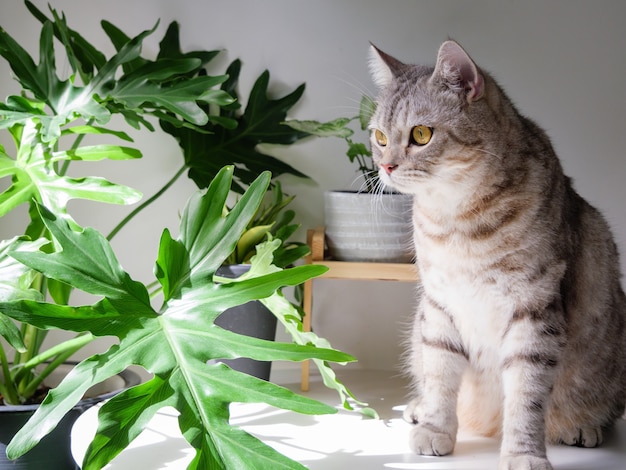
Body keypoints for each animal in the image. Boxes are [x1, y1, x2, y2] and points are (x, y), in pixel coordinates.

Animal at [366, 41, 624, 470]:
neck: (458, 222)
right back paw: (419, 407)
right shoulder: (440, 305)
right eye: (380, 136)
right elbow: (440, 374)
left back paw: (582, 427)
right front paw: (435, 427)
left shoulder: (533, 309)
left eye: (421, 134)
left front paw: (524, 454)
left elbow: (526, 395)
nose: (385, 166)